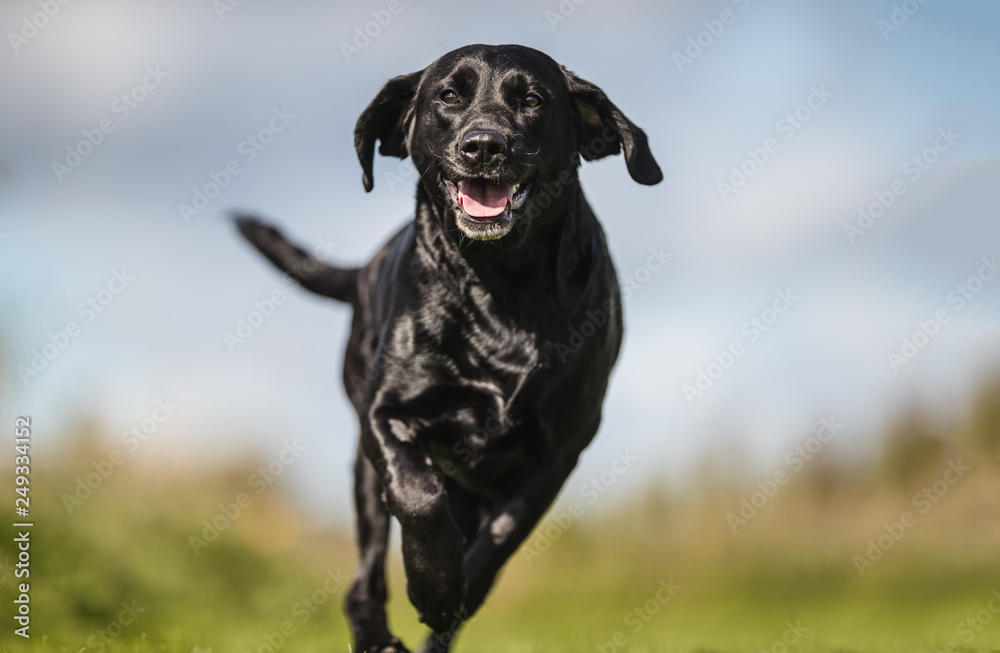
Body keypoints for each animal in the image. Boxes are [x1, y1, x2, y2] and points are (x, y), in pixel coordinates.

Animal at [237, 43, 660, 648]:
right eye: (450, 96)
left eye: (532, 99)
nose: (483, 145)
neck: (502, 285)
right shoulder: (385, 415)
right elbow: (417, 494)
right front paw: (434, 584)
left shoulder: (560, 450)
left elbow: (499, 540)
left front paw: (453, 594)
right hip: (363, 472)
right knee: (362, 582)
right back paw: (377, 637)